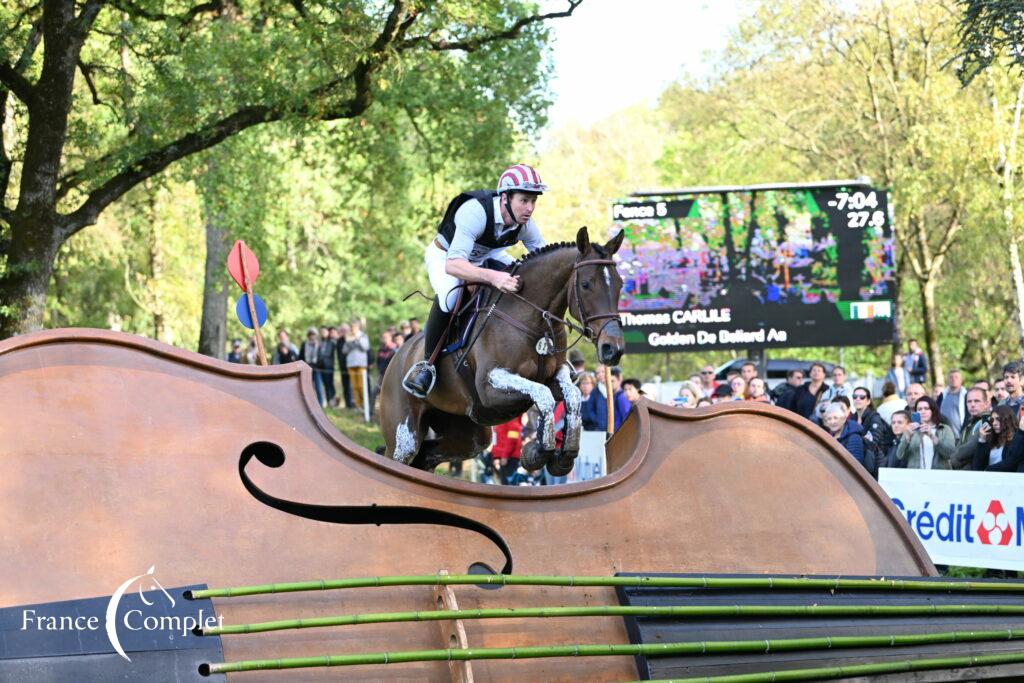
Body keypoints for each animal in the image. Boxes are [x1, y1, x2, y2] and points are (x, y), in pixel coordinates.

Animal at [380, 227, 626, 479]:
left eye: (620, 284)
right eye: (586, 284)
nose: (612, 348)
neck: (531, 319)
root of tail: (398, 356)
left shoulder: (555, 375)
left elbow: (572, 395)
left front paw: (563, 457)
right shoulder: (490, 388)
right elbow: (543, 395)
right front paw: (538, 452)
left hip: (468, 434)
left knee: (428, 455)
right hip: (404, 437)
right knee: (403, 455)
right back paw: (421, 376)